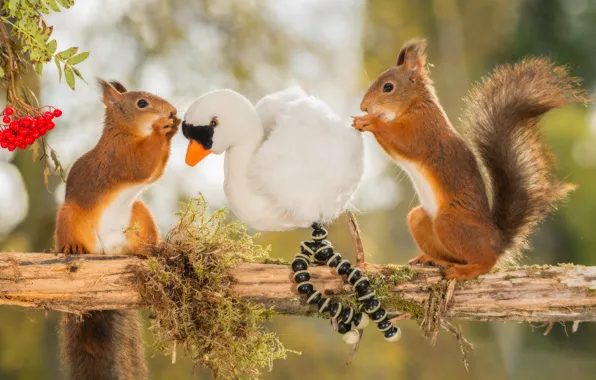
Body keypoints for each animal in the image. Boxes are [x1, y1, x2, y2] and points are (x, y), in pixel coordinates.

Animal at [53, 78, 179, 378]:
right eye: (142, 103)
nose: (171, 111)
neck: (125, 132)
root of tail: (105, 251)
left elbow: (154, 172)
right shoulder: (119, 156)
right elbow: (142, 165)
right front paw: (163, 129)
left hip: (140, 215)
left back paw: (154, 248)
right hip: (69, 218)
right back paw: (71, 247)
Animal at [352, 40, 584, 280]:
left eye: (388, 87)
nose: (364, 107)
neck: (415, 104)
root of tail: (496, 241)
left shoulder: (424, 130)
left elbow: (404, 142)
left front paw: (369, 121)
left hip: (449, 222)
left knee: (486, 261)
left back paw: (463, 271)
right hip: (419, 220)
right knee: (456, 255)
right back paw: (432, 259)